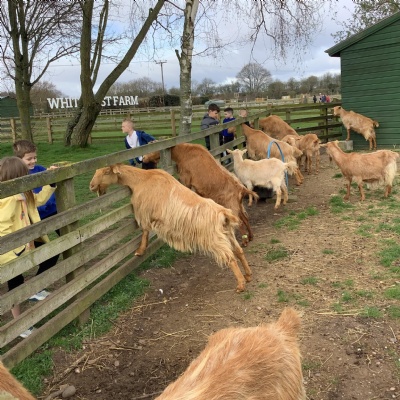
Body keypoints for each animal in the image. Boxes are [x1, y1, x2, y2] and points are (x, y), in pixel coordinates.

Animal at [89, 165, 252, 292]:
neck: (141, 179)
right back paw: (248, 275)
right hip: (227, 234)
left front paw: (140, 251)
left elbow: (145, 231)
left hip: (214, 240)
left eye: (105, 172)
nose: (91, 185)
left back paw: (240, 285)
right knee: (239, 251)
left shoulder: (145, 212)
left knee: (231, 258)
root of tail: (223, 213)